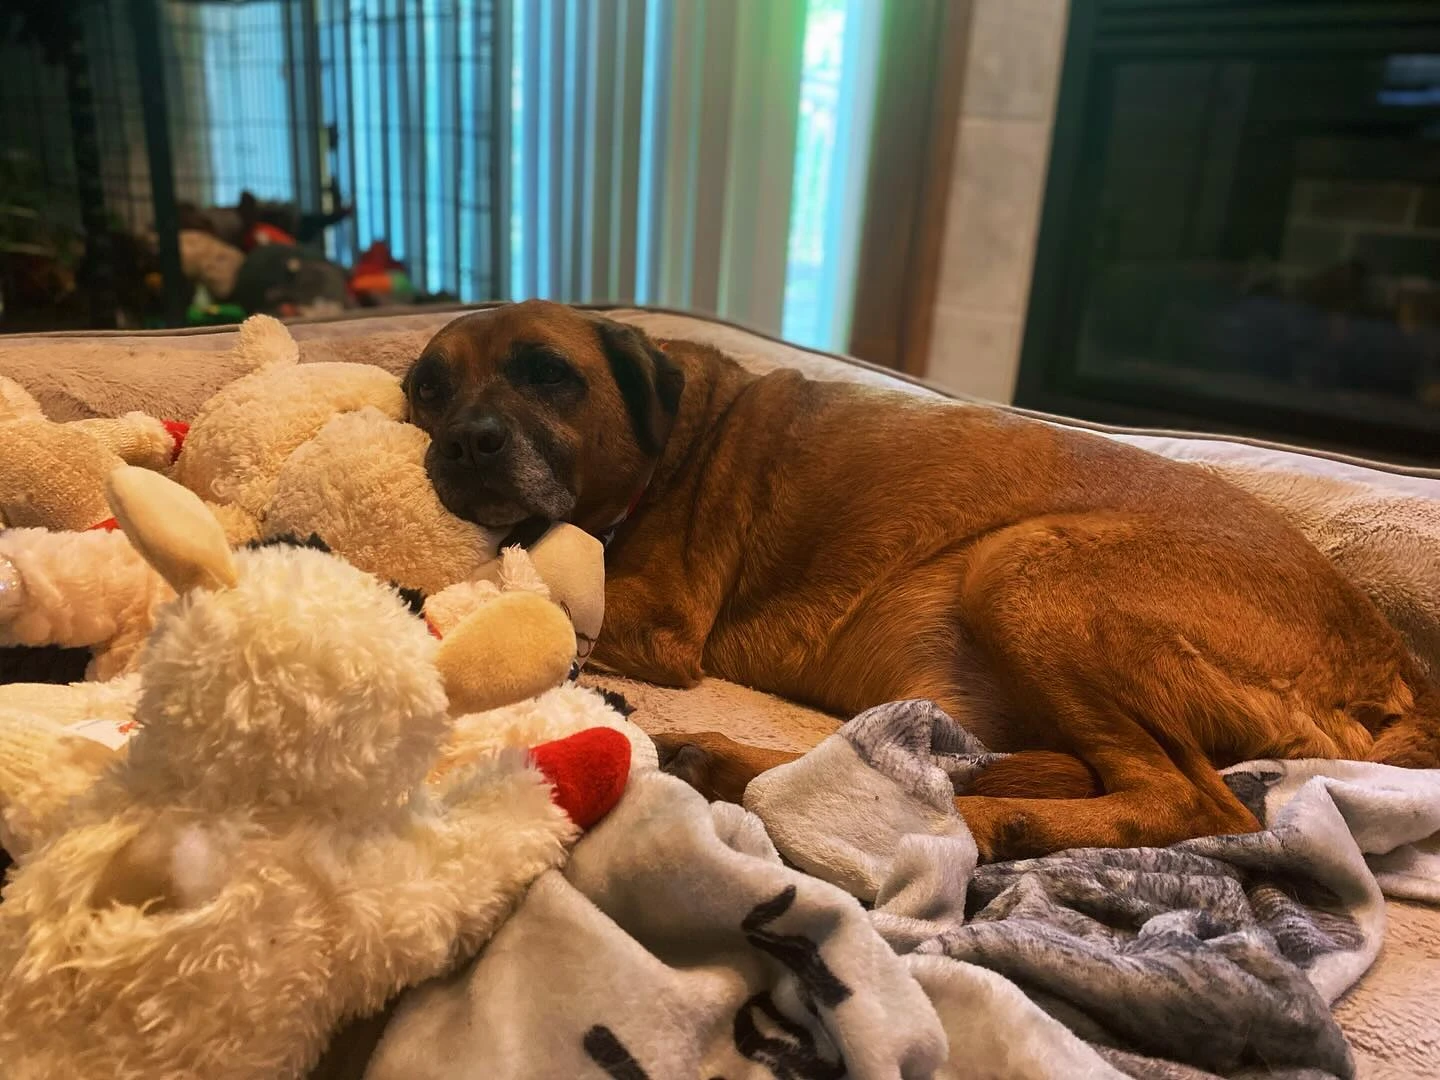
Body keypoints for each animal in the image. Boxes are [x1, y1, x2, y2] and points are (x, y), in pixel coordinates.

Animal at [406, 302, 1440, 864]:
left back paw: (978, 824)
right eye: (425, 388)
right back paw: (728, 766)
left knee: (1197, 805)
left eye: (549, 374)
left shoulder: (656, 620)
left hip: (1022, 567)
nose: (464, 445)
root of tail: (1392, 664)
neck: (670, 441)